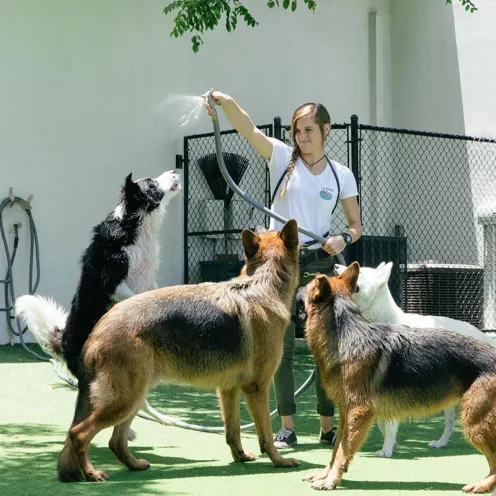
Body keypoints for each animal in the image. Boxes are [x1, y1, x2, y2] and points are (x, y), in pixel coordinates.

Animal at [15, 170, 182, 426]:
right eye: (152, 183)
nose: (174, 172)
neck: (134, 224)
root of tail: (64, 341)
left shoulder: (147, 280)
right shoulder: (112, 281)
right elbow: (130, 297)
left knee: (138, 400)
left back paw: (159, 418)